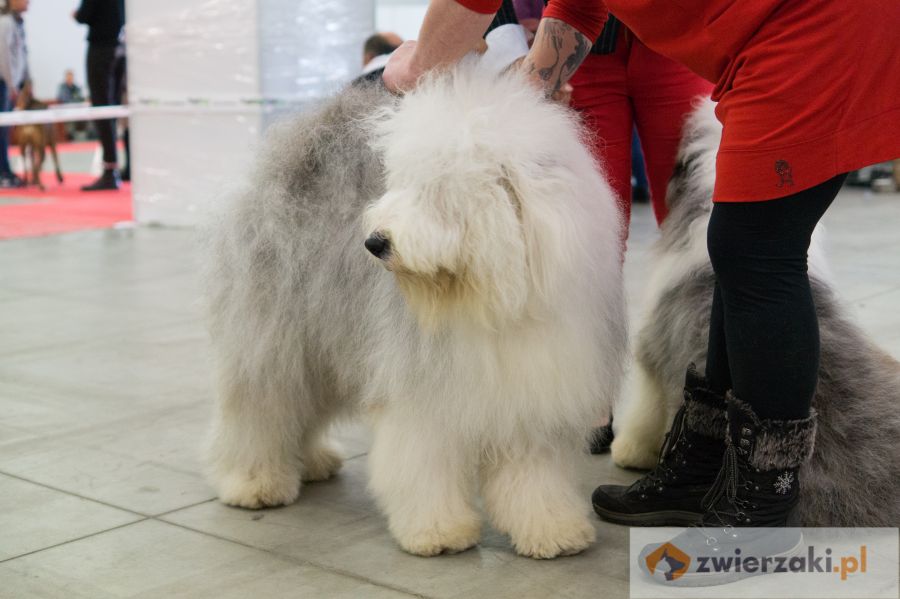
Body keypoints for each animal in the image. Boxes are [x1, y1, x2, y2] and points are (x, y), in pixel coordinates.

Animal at [203, 58, 624, 560]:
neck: (488, 299)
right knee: (261, 407)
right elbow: (425, 464)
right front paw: (439, 531)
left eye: (436, 190)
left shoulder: (531, 391)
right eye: (399, 183)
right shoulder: (425, 395)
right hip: (276, 336)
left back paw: (313, 461)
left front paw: (552, 530)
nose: (374, 242)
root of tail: (297, 145)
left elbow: (533, 474)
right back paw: (254, 483)